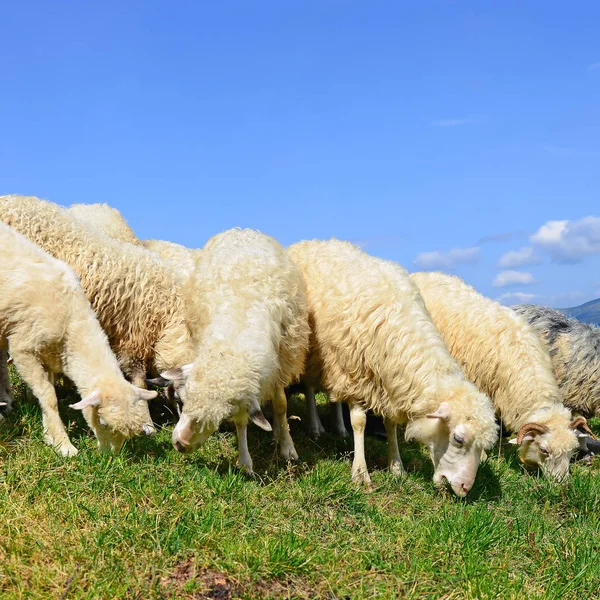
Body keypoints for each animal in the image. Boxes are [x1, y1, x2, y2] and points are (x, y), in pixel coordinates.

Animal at [0, 224, 157, 454]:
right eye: (103, 423)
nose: (109, 458)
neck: (72, 322)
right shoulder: (24, 348)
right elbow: (48, 396)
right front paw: (64, 445)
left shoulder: (50, 356)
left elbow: (47, 394)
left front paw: (50, 435)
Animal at [159, 227, 310, 472]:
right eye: (183, 402)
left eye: (219, 418)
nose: (180, 445)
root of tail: (243, 230)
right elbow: (242, 421)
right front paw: (245, 461)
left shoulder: (282, 361)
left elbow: (281, 405)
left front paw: (287, 446)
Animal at [286, 239, 496, 496]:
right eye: (458, 439)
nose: (465, 488)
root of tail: (312, 241)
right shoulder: (357, 374)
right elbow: (359, 422)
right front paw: (360, 473)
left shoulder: (389, 381)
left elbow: (391, 425)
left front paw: (396, 466)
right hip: (315, 356)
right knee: (309, 389)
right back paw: (316, 427)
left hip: (333, 361)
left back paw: (338, 428)